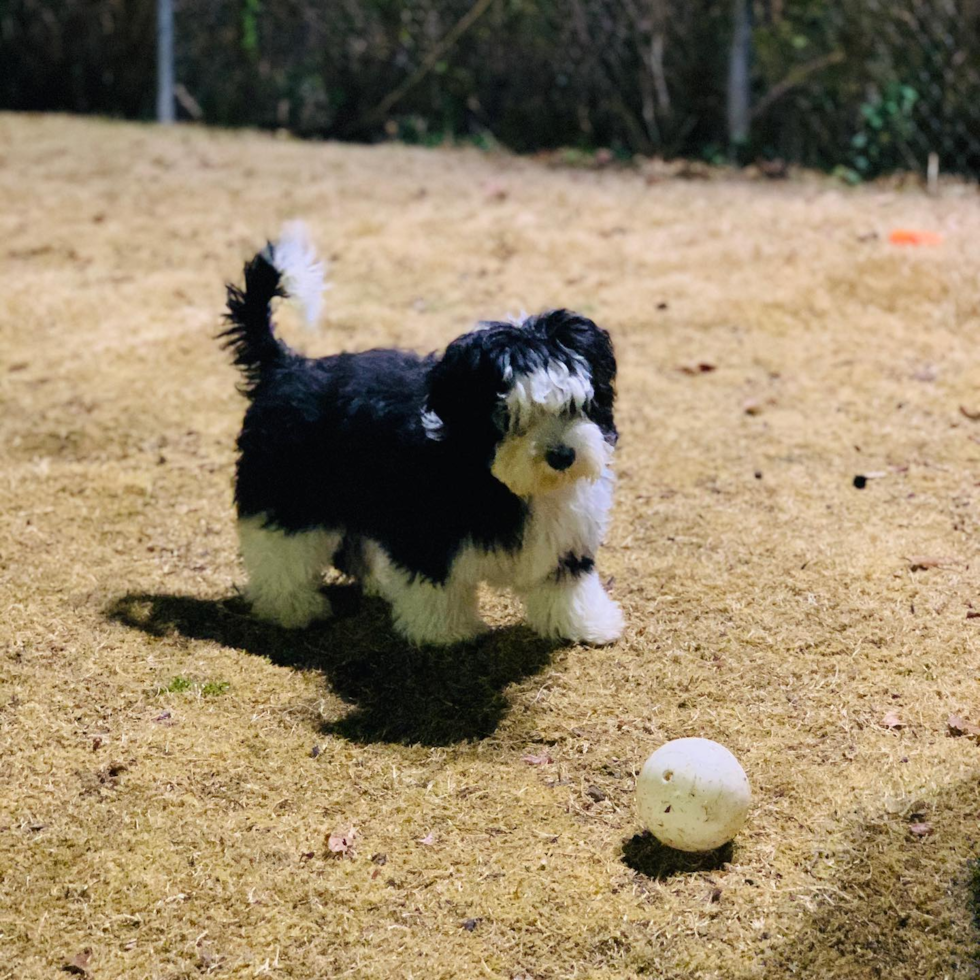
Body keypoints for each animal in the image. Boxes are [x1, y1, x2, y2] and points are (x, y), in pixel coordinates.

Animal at [221, 226, 624, 648]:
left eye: (577, 404)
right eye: (510, 415)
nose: (562, 456)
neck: (502, 483)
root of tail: (285, 365)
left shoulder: (566, 540)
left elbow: (568, 586)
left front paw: (585, 623)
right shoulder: (428, 531)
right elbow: (437, 585)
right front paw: (446, 632)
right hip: (286, 496)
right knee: (280, 552)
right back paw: (291, 606)